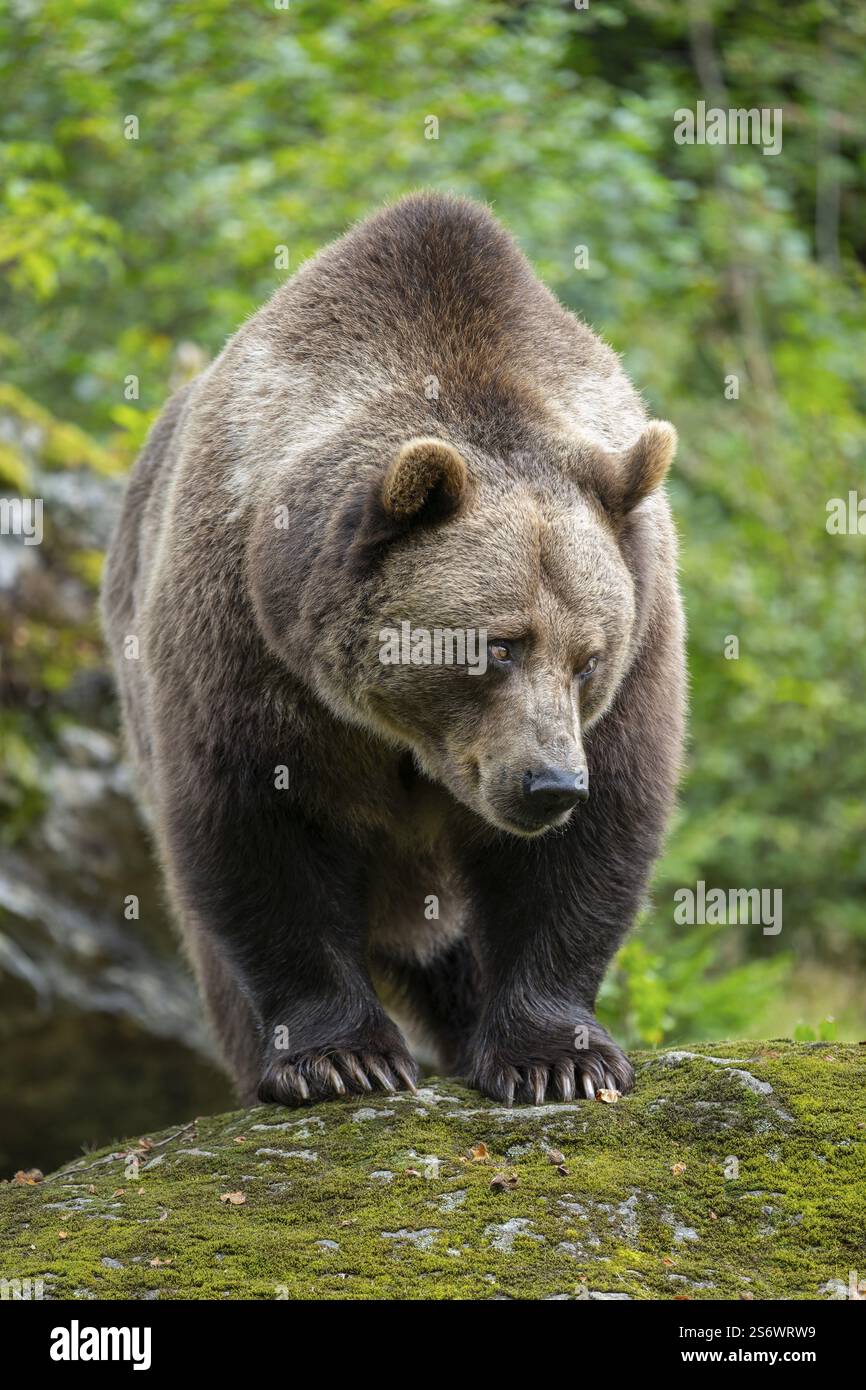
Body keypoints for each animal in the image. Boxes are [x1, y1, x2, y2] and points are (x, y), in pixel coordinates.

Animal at [103, 193, 683, 1106]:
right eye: (497, 646)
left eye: (589, 659)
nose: (550, 784)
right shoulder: (247, 642)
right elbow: (261, 829)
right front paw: (338, 1058)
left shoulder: (642, 636)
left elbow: (588, 846)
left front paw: (559, 1058)